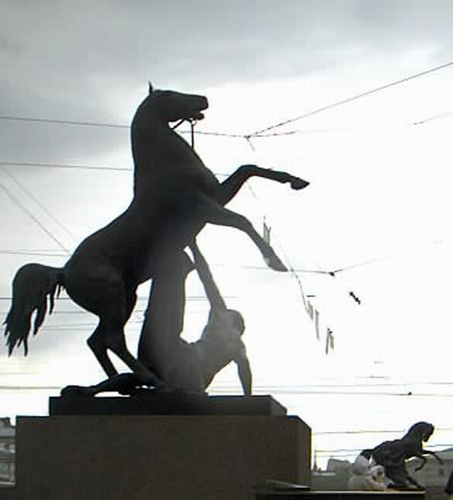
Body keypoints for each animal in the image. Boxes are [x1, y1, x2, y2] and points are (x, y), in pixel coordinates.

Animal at [4, 84, 308, 388]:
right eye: (169, 95)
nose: (204, 99)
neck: (166, 167)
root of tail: (63, 271)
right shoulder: (203, 207)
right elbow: (242, 221)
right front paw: (275, 262)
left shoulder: (217, 196)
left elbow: (248, 168)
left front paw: (297, 181)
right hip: (113, 299)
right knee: (112, 339)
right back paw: (151, 381)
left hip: (126, 297)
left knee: (97, 341)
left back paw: (122, 382)